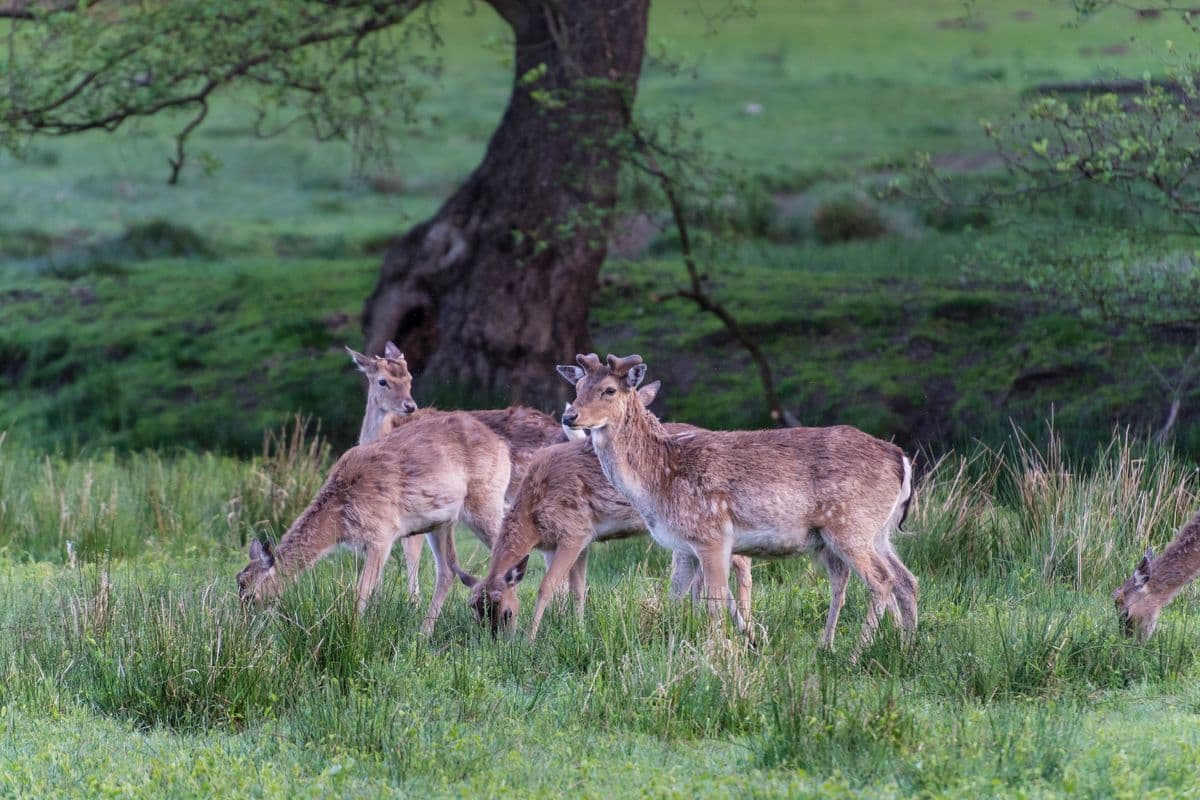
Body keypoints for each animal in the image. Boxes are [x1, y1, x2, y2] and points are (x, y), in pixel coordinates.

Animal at [236, 410, 508, 633]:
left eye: (250, 595)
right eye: (239, 581)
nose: (242, 627)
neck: (339, 519)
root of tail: (503, 448)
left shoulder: (382, 534)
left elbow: (361, 590)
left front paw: (353, 631)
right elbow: (374, 590)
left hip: (485, 501)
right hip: (441, 523)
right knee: (448, 569)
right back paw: (423, 634)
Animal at [456, 381, 748, 638]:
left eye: (507, 612)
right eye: (475, 612)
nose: (496, 642)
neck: (534, 514)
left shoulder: (574, 532)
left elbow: (547, 586)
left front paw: (531, 638)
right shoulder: (583, 540)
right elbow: (578, 589)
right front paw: (578, 630)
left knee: (740, 560)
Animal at [556, 352, 912, 652]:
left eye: (609, 390)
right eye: (578, 386)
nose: (570, 416)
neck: (659, 482)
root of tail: (901, 459)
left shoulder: (712, 535)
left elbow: (713, 600)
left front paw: (716, 655)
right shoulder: (684, 545)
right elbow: (676, 595)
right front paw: (675, 648)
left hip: (850, 525)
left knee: (883, 581)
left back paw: (856, 653)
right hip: (877, 532)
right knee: (906, 579)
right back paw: (905, 646)